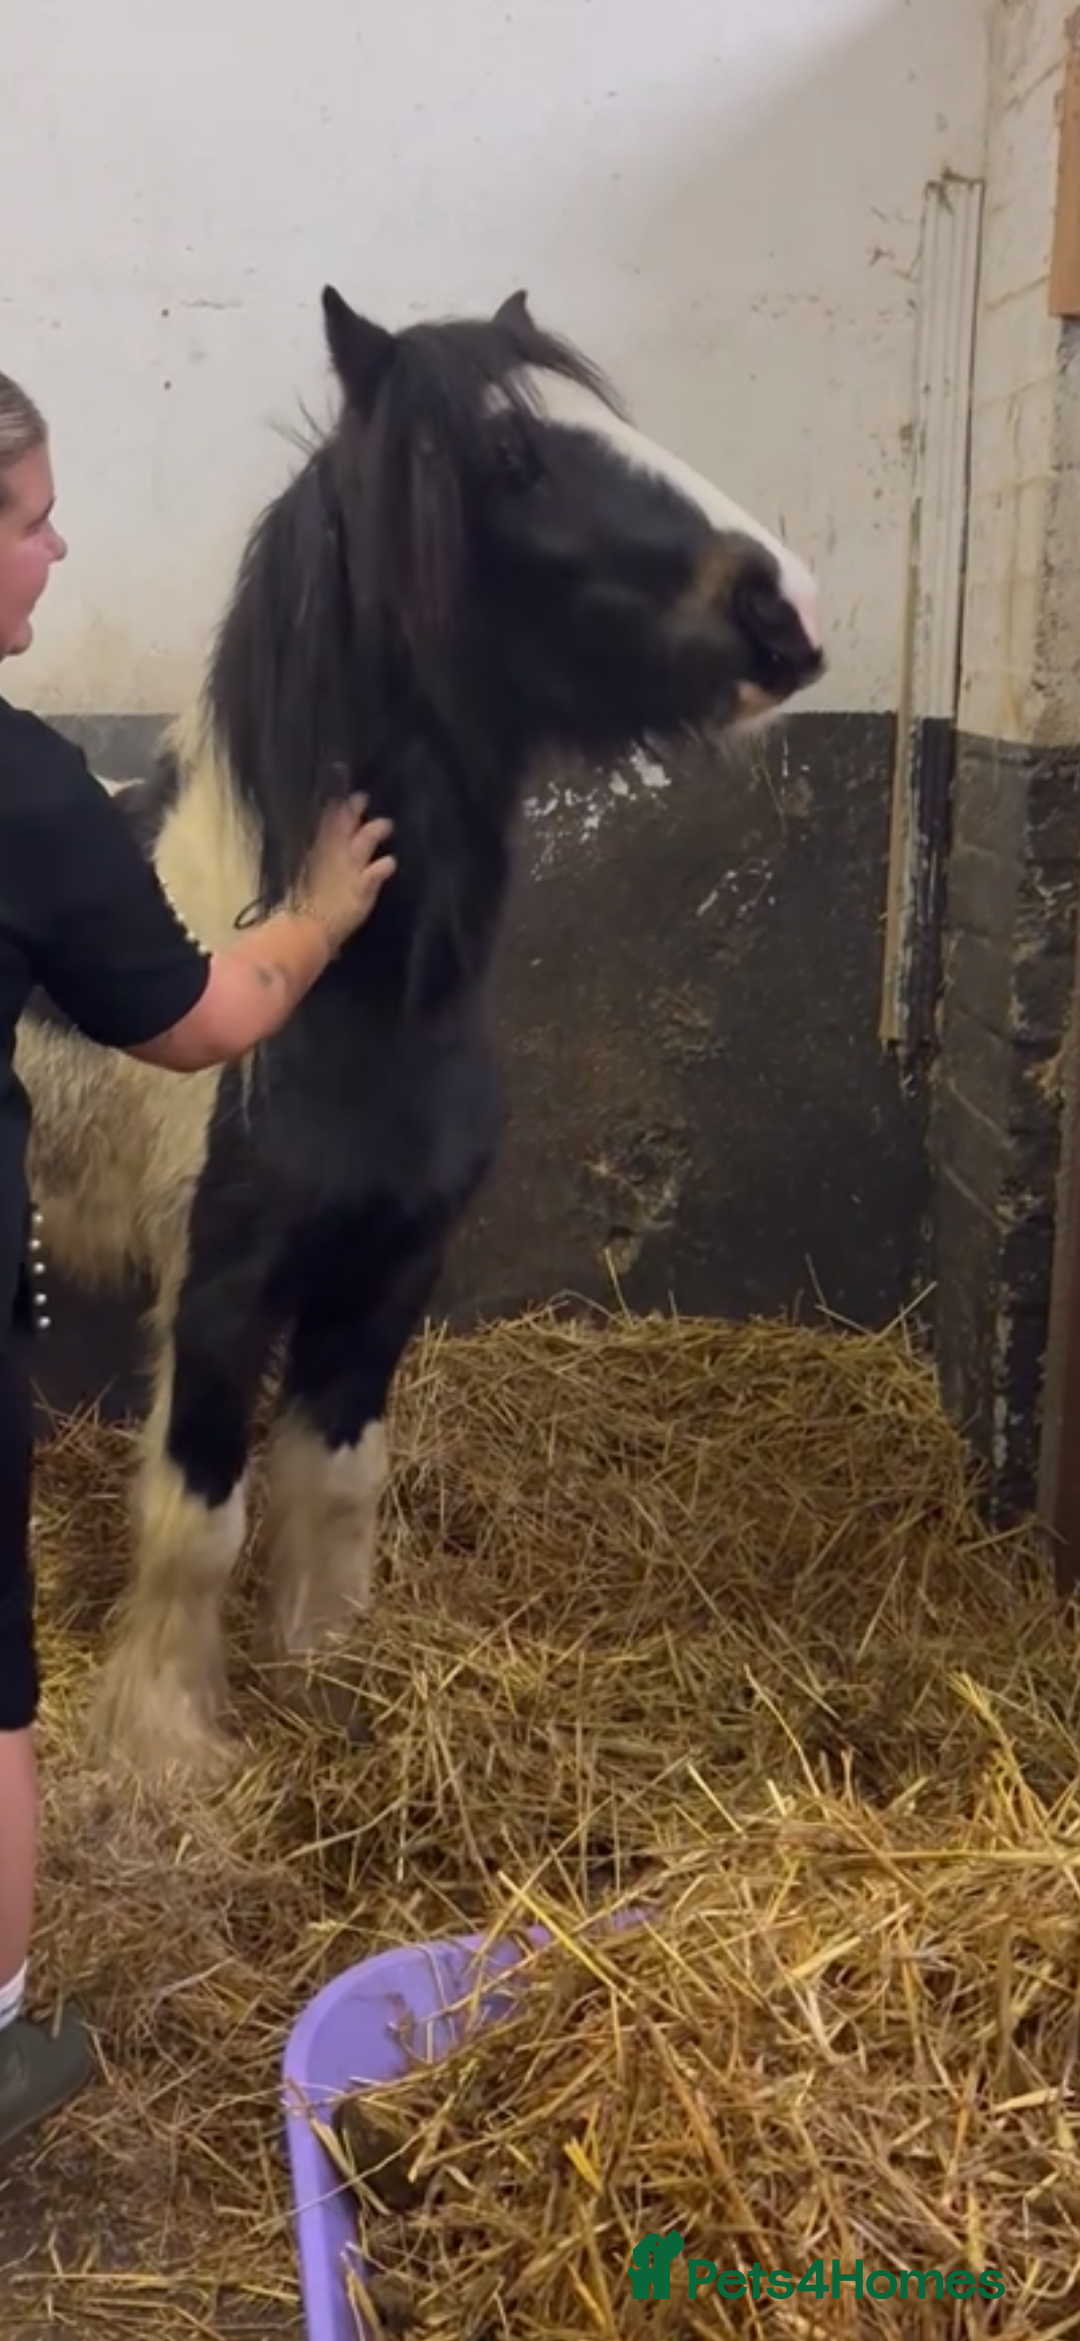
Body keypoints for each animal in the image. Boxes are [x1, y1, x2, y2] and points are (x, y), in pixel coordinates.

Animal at [16, 282, 825, 1782]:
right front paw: (173, 1747)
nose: (788, 607)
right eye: (509, 460)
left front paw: (333, 1670)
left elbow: (337, 1480)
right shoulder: (218, 1288)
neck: (344, 993)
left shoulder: (391, 1267)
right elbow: (197, 1517)